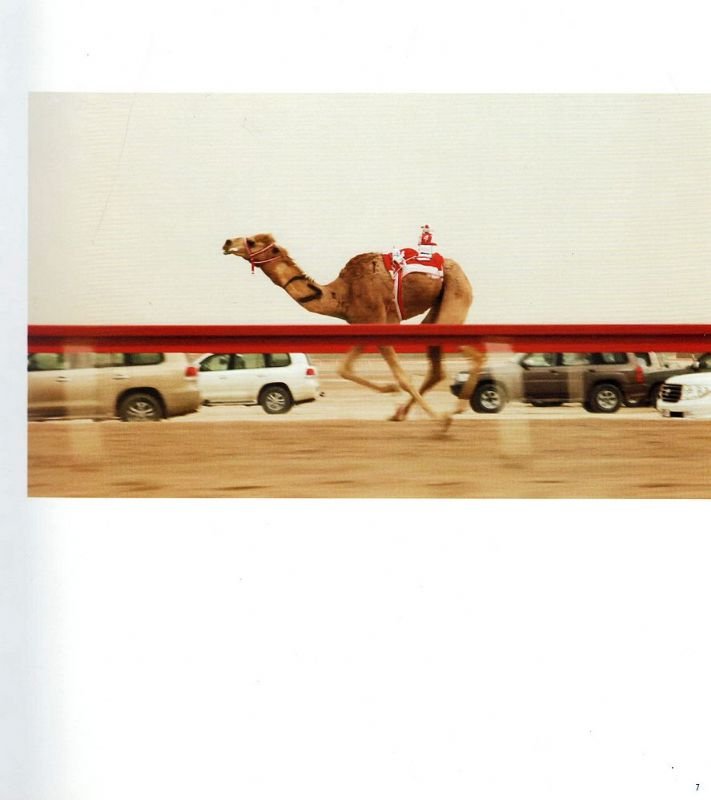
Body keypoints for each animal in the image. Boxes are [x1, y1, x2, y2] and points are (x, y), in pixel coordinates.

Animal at [221, 233, 484, 424]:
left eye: (251, 241)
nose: (227, 242)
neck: (341, 293)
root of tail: (459, 269)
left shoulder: (378, 322)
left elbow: (403, 377)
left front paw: (439, 420)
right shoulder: (363, 324)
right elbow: (344, 369)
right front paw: (389, 389)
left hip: (455, 296)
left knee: (475, 354)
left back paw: (455, 409)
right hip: (436, 312)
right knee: (438, 369)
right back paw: (403, 413)